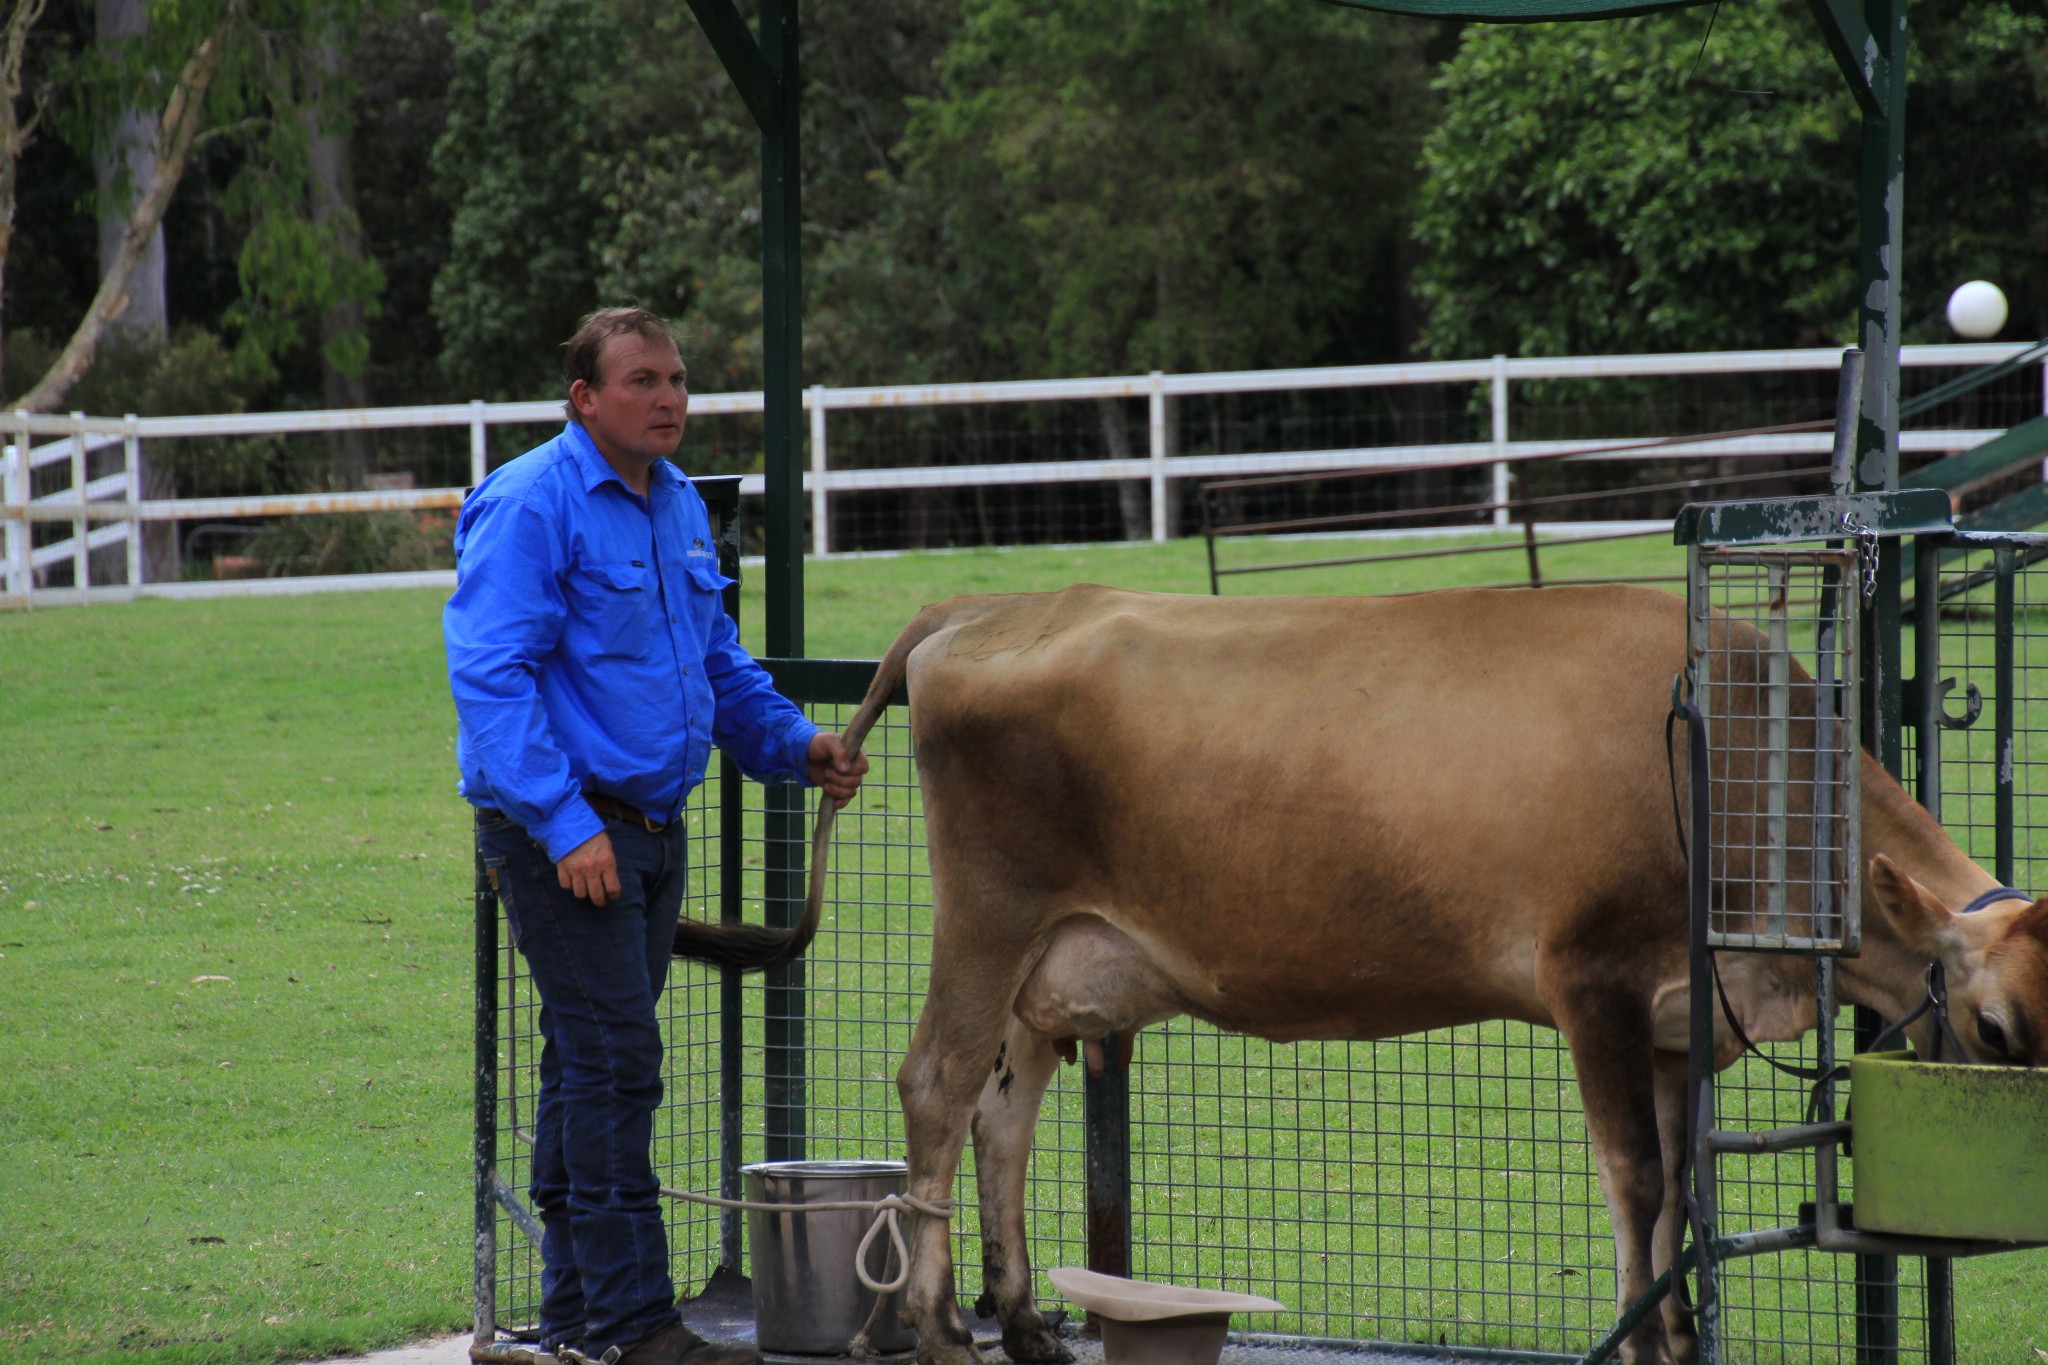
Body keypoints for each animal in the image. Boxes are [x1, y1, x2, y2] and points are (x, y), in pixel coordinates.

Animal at [794, 585, 2048, 1365]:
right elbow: (1636, 1178)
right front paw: (1644, 1340)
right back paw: (938, 1328)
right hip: (988, 914)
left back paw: (1018, 1319)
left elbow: (1681, 1191)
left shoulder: (1675, 1019)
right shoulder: (1590, 977)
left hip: (1053, 955)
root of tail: (979, 607)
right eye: (1991, 1031)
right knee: (935, 1087)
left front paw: (1678, 1328)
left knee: (1001, 1113)